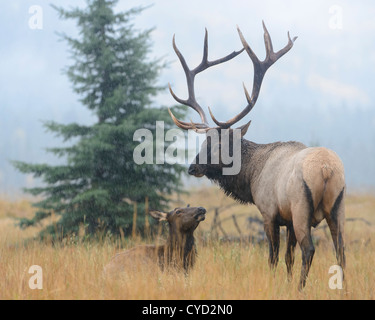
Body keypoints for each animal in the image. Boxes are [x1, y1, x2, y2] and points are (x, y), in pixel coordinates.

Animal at [169, 21, 348, 288]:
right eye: (203, 141)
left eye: (219, 144)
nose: (192, 167)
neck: (251, 176)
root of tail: (326, 169)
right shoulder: (287, 220)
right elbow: (288, 257)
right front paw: (285, 283)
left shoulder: (269, 212)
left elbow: (273, 256)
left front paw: (276, 284)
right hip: (338, 207)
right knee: (341, 251)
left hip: (301, 208)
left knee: (310, 249)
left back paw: (301, 289)